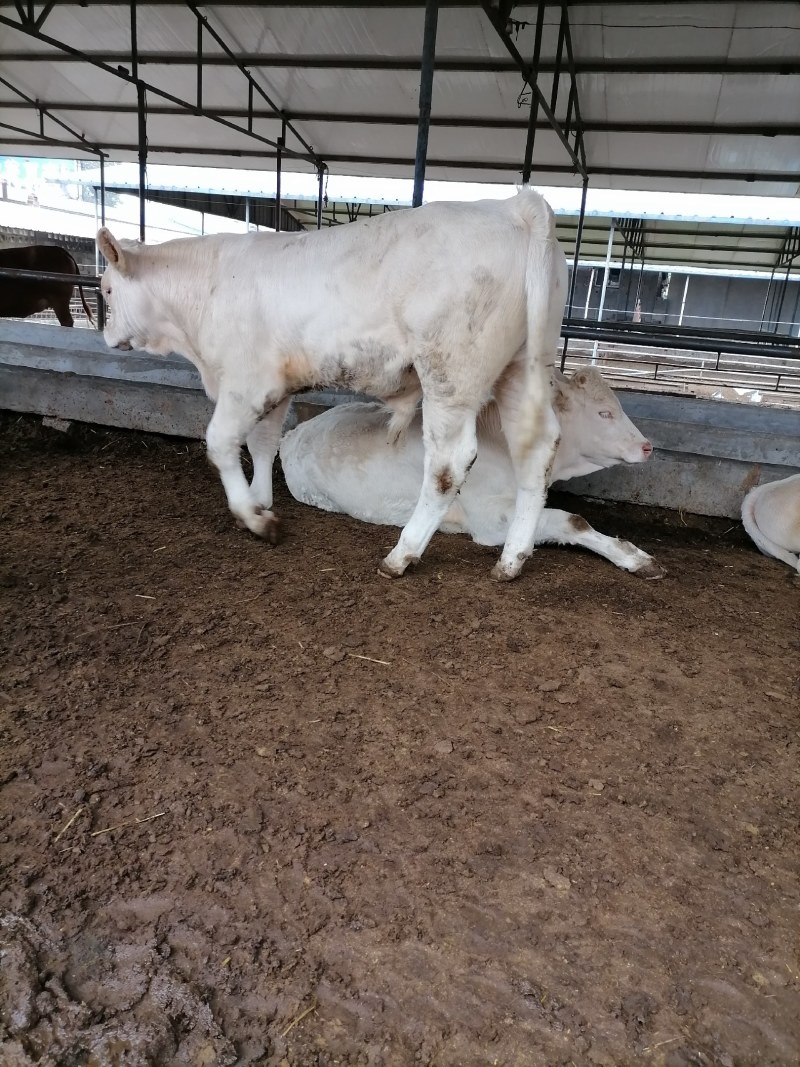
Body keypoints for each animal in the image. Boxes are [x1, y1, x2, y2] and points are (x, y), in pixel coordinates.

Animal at [281, 369, 665, 584]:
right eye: (604, 413)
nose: (647, 446)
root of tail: (295, 432)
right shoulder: (488, 518)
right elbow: (572, 521)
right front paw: (631, 557)